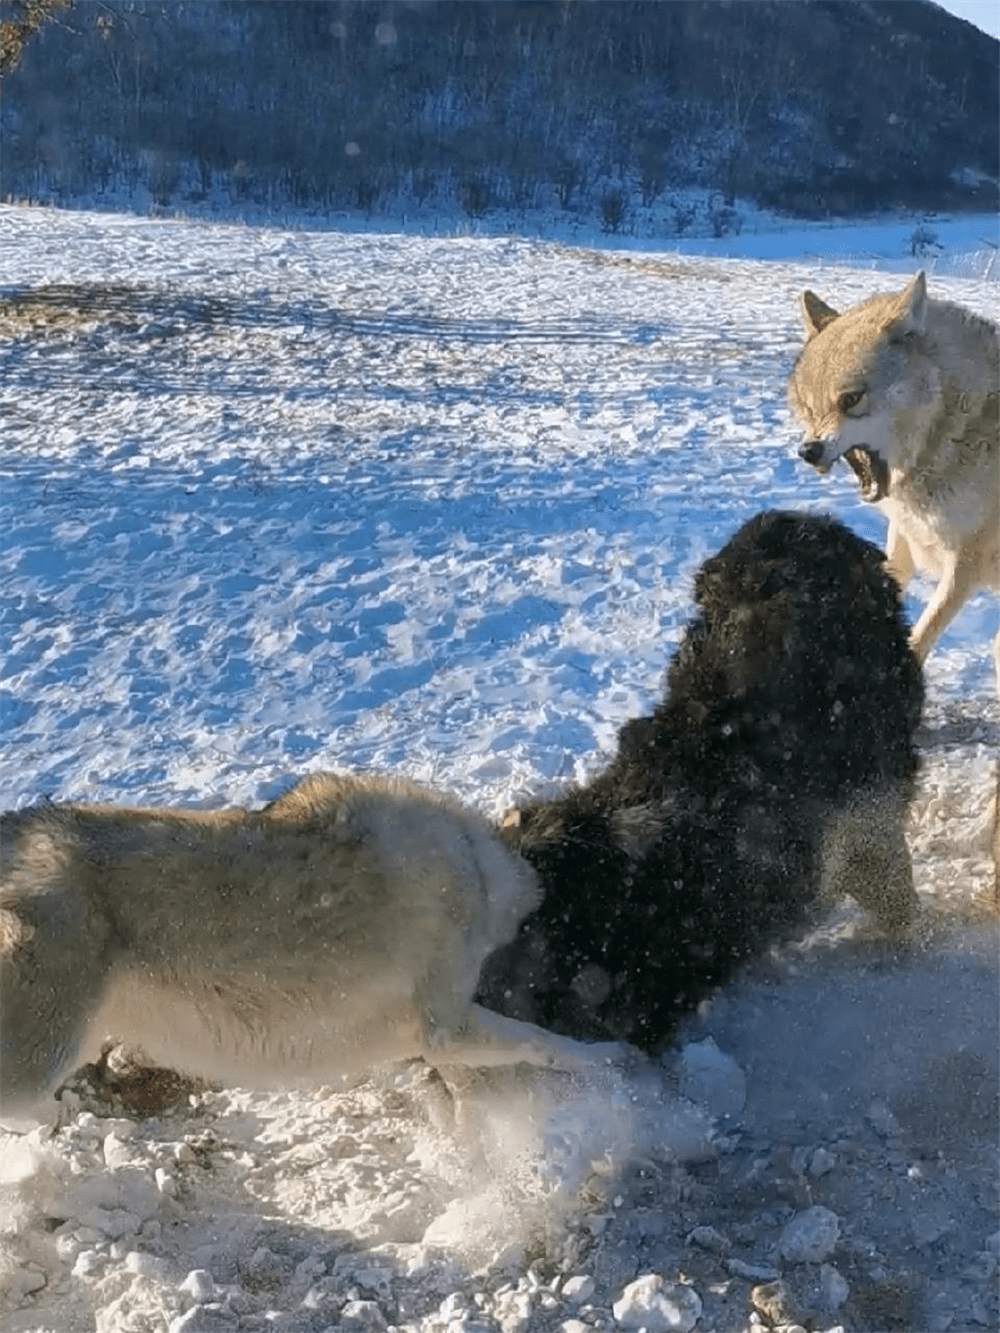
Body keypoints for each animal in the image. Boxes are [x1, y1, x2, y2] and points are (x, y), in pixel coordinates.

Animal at [3, 773, 624, 1114]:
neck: (477, 866)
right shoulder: (446, 1026)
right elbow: (549, 1044)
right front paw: (610, 1061)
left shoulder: (433, 1038)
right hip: (38, 1063)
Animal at [794, 274, 997, 682]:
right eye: (809, 407)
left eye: (851, 399)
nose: (808, 451)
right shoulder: (903, 536)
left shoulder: (966, 566)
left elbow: (920, 637)